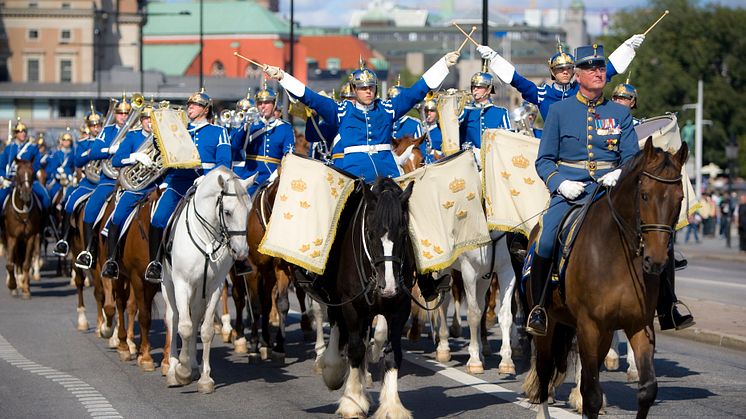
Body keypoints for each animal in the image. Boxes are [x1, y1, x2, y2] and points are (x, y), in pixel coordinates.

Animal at [2, 159, 42, 300]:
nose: (25, 194)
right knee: (15, 260)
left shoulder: (31, 237)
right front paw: (13, 285)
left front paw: (25, 289)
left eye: (32, 172)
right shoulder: (12, 238)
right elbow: (10, 264)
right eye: (17, 172)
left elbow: (26, 263)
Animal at [163, 169, 256, 396]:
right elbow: (185, 327)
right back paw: (173, 369)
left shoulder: (215, 287)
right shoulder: (182, 284)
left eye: (249, 211)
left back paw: (194, 366)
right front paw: (182, 371)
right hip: (168, 285)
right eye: (228, 212)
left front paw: (204, 378)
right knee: (173, 318)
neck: (207, 239)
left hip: (199, 291)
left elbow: (204, 330)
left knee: (195, 315)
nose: (241, 252)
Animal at [314, 178, 416, 419]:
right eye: (370, 233)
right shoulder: (351, 306)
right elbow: (355, 349)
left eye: (403, 234)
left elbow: (392, 353)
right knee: (339, 327)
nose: (389, 287)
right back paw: (333, 369)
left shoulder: (400, 309)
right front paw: (352, 402)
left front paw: (392, 406)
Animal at [516, 139, 684, 419]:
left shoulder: (638, 325)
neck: (619, 255)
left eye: (680, 199)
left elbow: (647, 390)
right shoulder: (590, 326)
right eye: (645, 195)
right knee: (543, 370)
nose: (656, 261)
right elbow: (592, 395)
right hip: (548, 326)